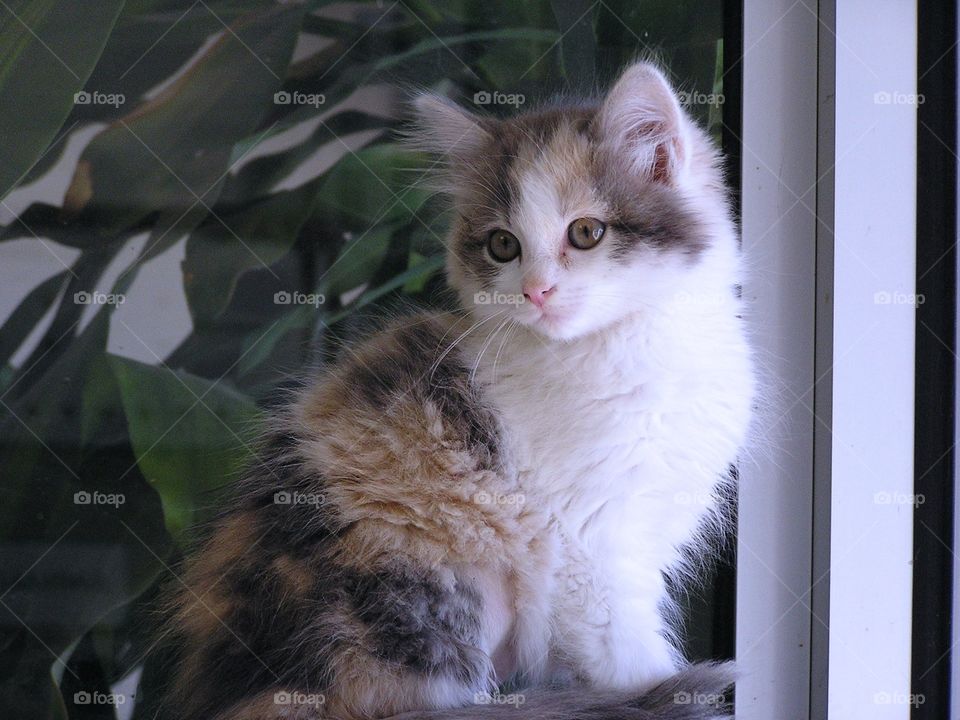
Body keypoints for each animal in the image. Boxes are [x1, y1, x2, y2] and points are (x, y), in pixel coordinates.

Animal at [161, 63, 752, 720]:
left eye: (587, 232)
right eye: (503, 245)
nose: (536, 291)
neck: (626, 345)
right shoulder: (585, 553)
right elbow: (627, 659)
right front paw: (664, 692)